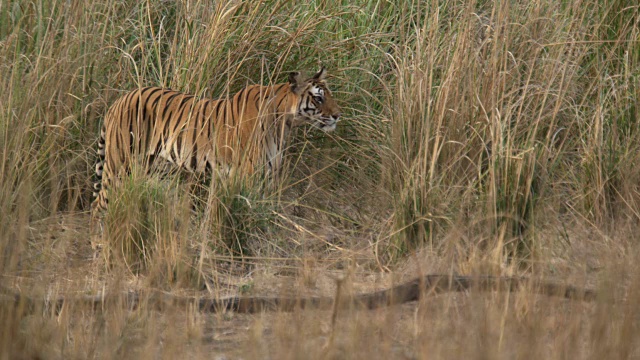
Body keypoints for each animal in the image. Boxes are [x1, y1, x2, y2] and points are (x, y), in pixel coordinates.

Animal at [91, 67, 340, 219]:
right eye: (319, 98)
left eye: (330, 95)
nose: (338, 116)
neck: (285, 122)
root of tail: (118, 102)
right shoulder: (248, 174)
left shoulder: (266, 175)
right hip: (120, 166)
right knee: (99, 205)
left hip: (151, 167)